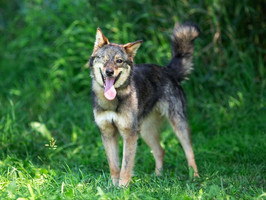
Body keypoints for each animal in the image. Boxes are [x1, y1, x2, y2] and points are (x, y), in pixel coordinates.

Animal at [89, 23, 200, 188]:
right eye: (103, 59)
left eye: (119, 61)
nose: (109, 72)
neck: (113, 101)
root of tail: (168, 70)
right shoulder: (107, 133)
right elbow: (114, 166)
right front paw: (112, 187)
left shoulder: (129, 134)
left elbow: (125, 166)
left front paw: (122, 188)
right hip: (146, 131)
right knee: (160, 150)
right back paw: (157, 177)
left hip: (178, 126)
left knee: (190, 153)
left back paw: (195, 177)